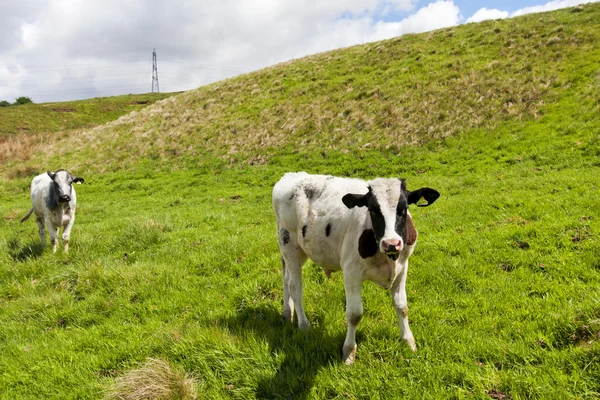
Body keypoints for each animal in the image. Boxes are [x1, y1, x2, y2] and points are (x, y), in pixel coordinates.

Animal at [274, 172, 440, 366]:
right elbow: (354, 314)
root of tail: (292, 175)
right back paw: (303, 325)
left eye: (404, 208)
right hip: (288, 243)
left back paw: (287, 313)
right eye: (373, 209)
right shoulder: (351, 271)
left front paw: (408, 341)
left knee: (286, 279)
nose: (391, 243)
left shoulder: (402, 267)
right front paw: (349, 351)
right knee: (295, 287)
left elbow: (402, 306)